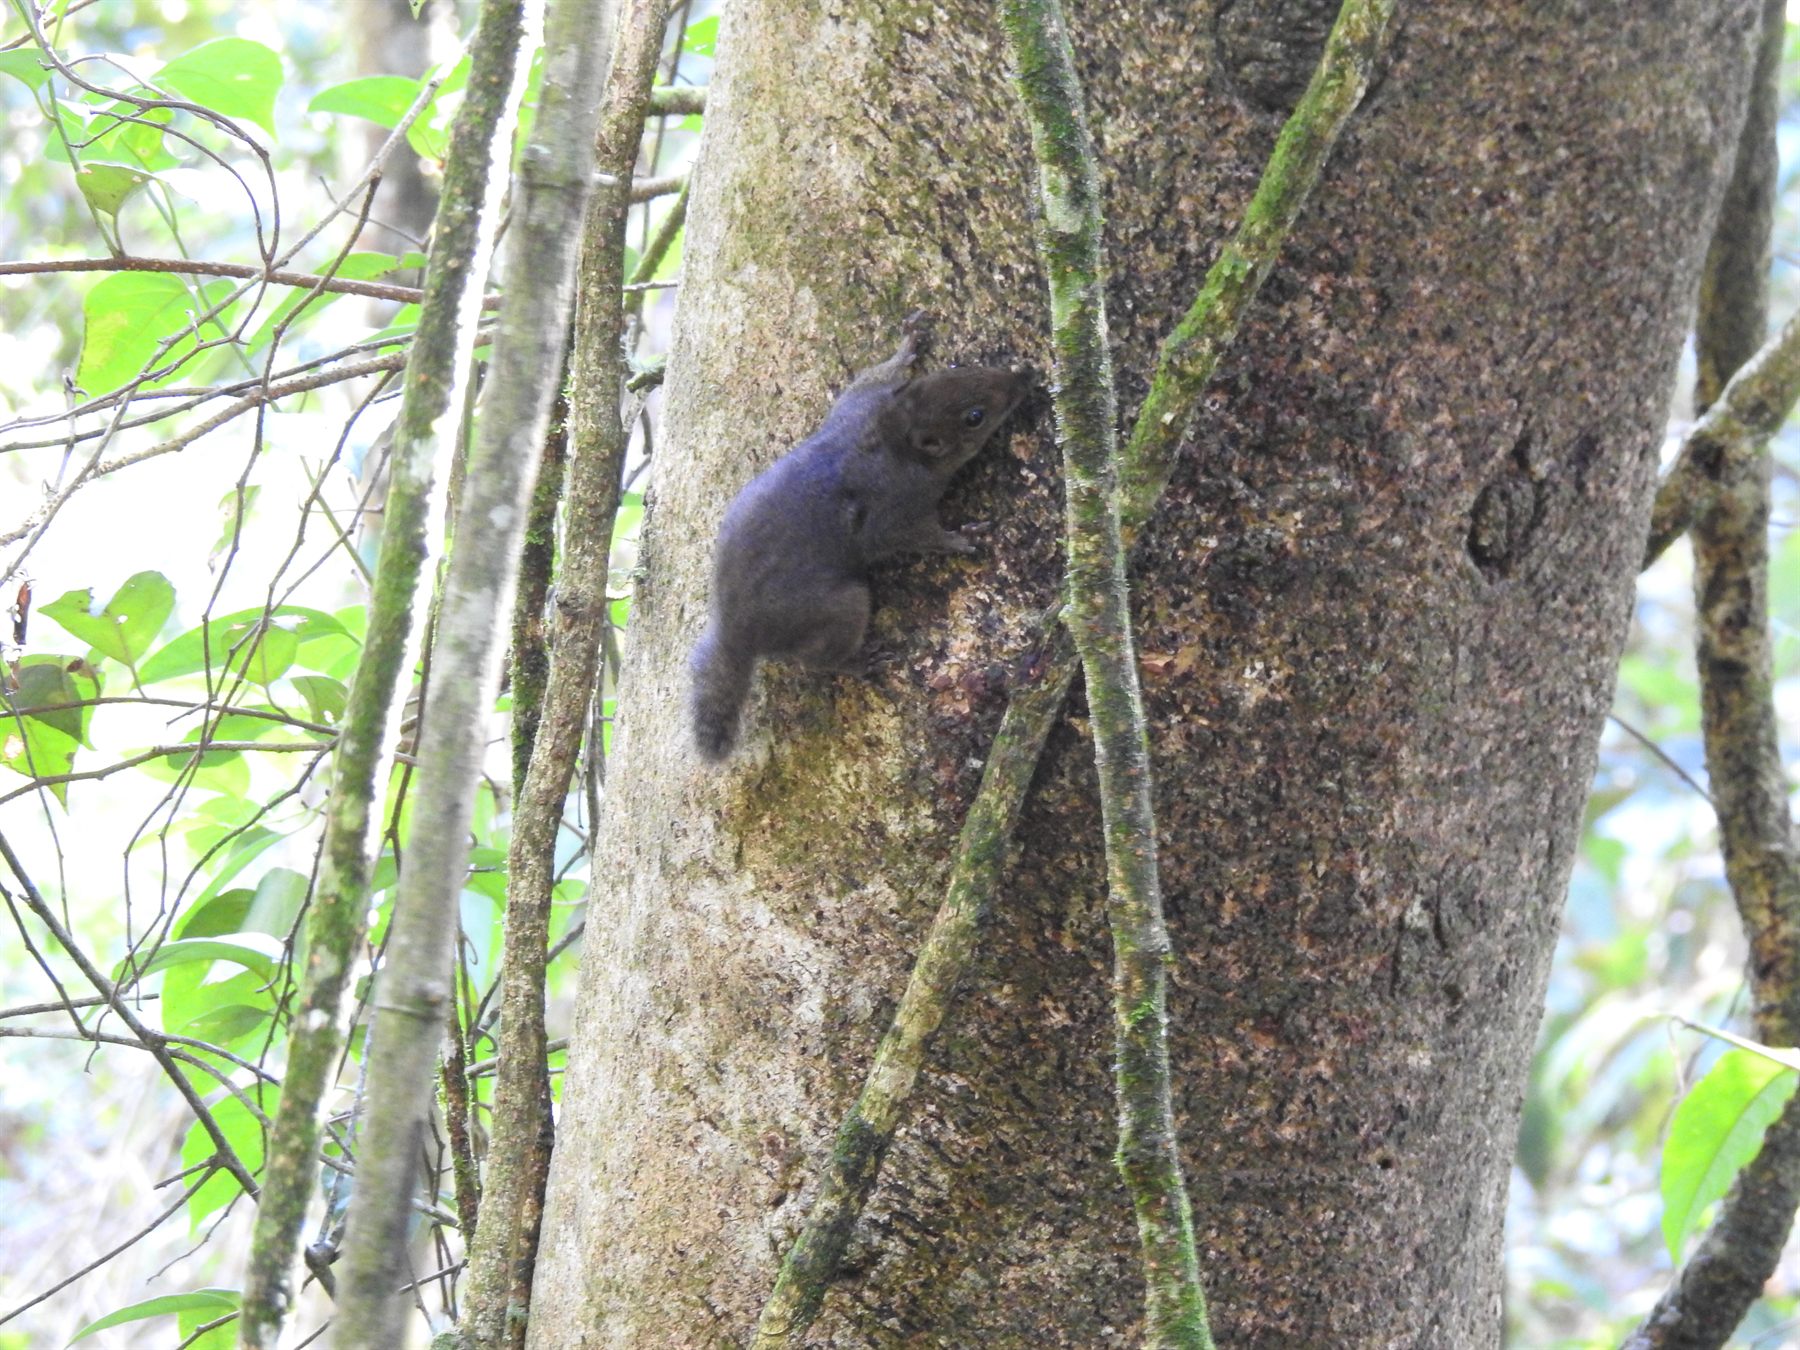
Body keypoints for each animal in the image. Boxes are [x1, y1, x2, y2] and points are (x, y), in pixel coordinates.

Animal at [689, 314, 1030, 762]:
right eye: (975, 416)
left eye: (958, 368)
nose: (1022, 378)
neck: (892, 433)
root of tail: (736, 632)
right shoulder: (894, 509)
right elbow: (909, 537)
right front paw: (961, 538)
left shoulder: (859, 404)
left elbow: (869, 377)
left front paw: (905, 348)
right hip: (841, 606)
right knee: (815, 658)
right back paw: (857, 663)